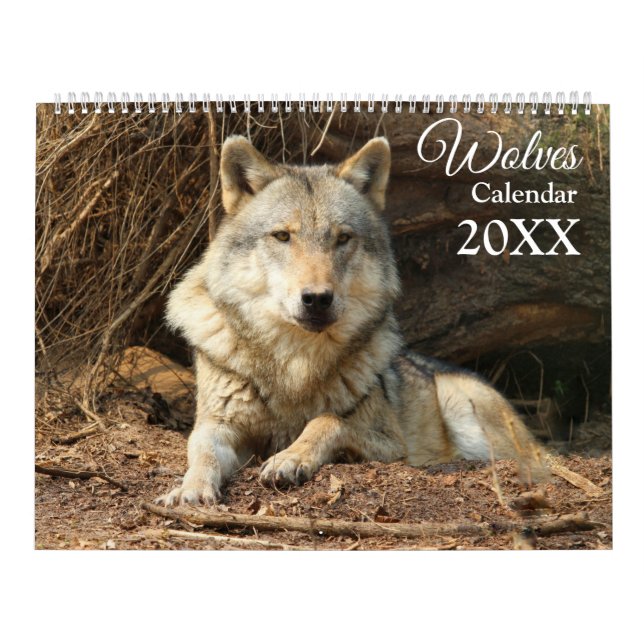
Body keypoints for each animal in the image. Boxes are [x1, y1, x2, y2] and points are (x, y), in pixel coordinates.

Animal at [158, 135, 544, 506]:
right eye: (282, 236)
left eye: (342, 238)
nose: (317, 298)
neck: (295, 363)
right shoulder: (216, 425)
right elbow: (202, 455)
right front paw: (189, 490)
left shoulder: (391, 444)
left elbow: (326, 420)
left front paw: (290, 458)